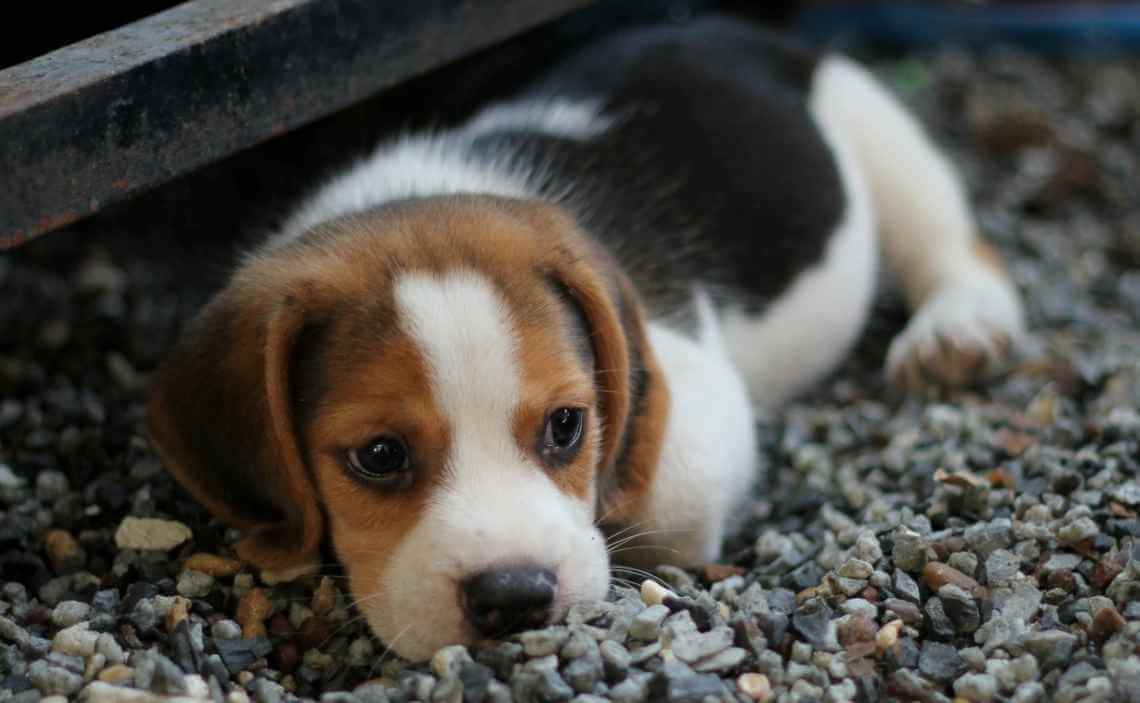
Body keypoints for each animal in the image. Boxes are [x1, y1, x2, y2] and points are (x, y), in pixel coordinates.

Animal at [144, 19, 1026, 660]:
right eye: (380, 456)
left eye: (567, 425)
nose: (515, 597)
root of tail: (728, 29)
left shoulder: (695, 392)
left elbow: (660, 492)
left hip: (874, 127)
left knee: (952, 240)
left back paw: (959, 329)